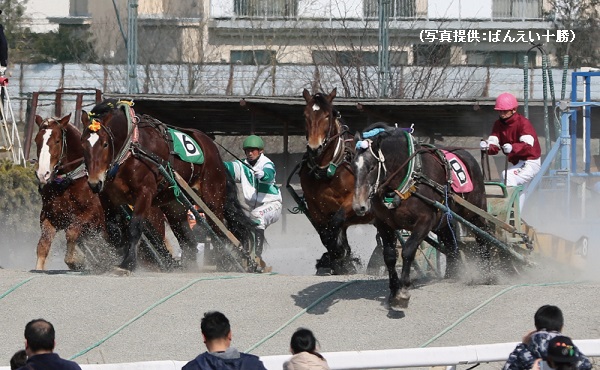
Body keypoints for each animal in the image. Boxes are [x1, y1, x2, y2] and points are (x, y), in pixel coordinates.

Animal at [33, 114, 173, 270]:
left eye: (57, 141)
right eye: (37, 140)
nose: (42, 174)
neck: (68, 183)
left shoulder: (91, 216)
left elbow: (72, 233)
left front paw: (76, 261)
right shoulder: (50, 216)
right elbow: (43, 246)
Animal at [79, 99, 253, 274]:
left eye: (105, 144)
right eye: (83, 145)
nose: (94, 182)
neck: (131, 152)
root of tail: (214, 151)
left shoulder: (145, 193)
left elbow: (135, 226)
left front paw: (128, 263)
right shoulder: (107, 196)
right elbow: (112, 229)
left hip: (212, 198)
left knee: (218, 228)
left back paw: (228, 262)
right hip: (175, 205)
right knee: (186, 237)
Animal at [300, 89, 376, 274]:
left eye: (328, 115)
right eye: (305, 115)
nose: (314, 148)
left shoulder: (353, 203)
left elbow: (335, 223)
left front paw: (342, 257)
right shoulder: (315, 208)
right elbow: (325, 234)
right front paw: (338, 260)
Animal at [352, 123, 488, 308]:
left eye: (372, 167)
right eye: (353, 168)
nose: (359, 206)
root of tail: (468, 155)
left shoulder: (424, 222)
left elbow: (408, 250)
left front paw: (403, 291)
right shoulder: (384, 224)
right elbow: (389, 256)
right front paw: (393, 290)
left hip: (474, 211)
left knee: (483, 235)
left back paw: (489, 272)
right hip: (443, 220)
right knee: (450, 240)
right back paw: (451, 273)